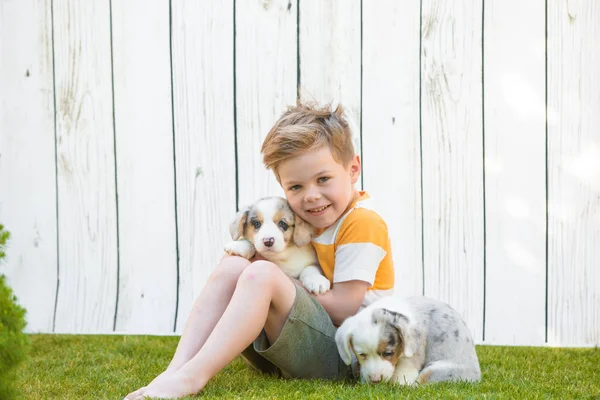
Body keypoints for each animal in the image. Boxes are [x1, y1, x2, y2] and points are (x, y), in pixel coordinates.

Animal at [336, 296, 480, 384]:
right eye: (361, 354)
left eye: (388, 353)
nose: (375, 380)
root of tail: (477, 376)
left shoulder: (413, 352)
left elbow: (404, 370)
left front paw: (399, 384)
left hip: (435, 370)